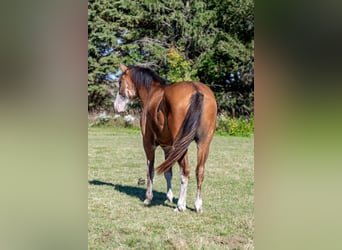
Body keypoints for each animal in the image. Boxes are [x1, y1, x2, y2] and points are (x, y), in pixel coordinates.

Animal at [114, 63, 216, 212]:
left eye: (120, 82)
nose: (116, 106)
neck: (152, 92)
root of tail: (196, 90)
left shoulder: (148, 143)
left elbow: (150, 170)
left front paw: (148, 198)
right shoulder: (167, 146)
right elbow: (168, 171)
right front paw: (169, 197)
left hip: (181, 145)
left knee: (185, 171)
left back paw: (180, 205)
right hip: (203, 144)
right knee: (199, 171)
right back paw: (197, 205)